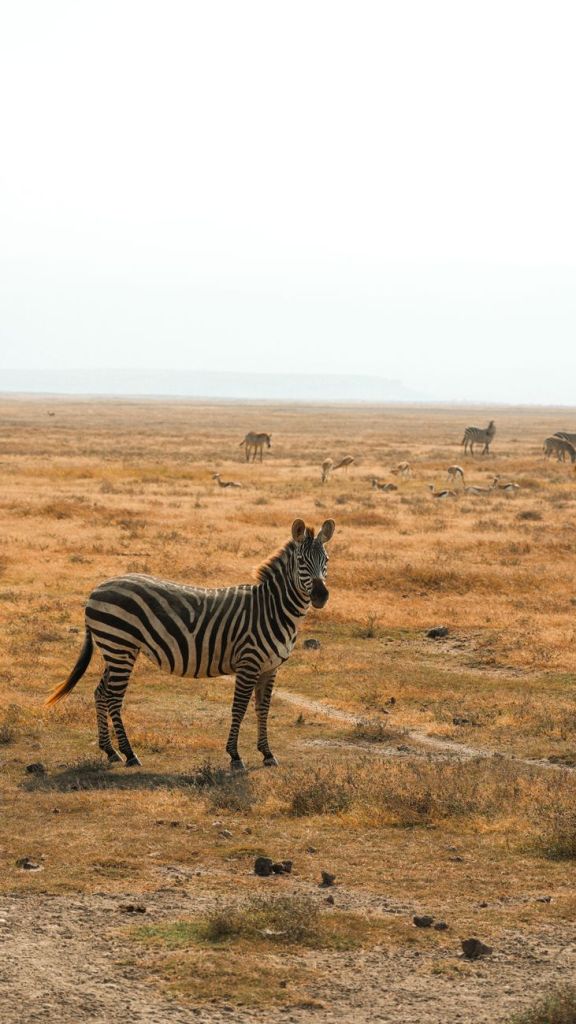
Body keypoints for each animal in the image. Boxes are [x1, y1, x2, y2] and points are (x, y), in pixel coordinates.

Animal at [46, 519, 335, 771]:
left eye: (327, 561)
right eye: (301, 562)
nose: (321, 596)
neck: (273, 609)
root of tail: (97, 588)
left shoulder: (270, 667)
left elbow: (262, 709)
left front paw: (267, 753)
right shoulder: (248, 662)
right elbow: (239, 708)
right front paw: (235, 755)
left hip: (116, 650)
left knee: (100, 692)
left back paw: (110, 751)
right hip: (120, 646)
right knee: (114, 698)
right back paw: (129, 754)